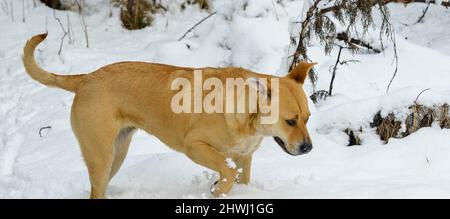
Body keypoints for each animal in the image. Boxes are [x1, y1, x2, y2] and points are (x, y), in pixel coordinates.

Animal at [22, 33, 314, 198]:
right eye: (290, 121)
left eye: (308, 118)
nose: (308, 148)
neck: (246, 115)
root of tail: (85, 79)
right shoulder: (195, 147)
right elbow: (227, 172)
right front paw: (217, 189)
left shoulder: (245, 157)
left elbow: (239, 174)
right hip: (101, 155)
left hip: (116, 154)